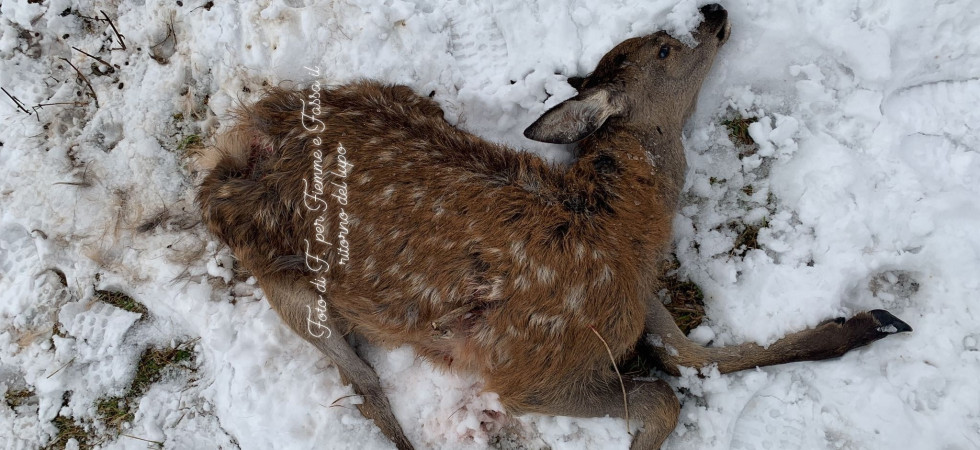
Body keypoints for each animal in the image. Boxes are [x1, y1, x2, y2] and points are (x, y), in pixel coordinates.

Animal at [195, 4, 911, 449]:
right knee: (365, 384)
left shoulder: (639, 299)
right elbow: (664, 395)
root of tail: (231, 152)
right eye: (664, 47)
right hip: (283, 281)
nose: (713, 10)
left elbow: (698, 356)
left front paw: (872, 322)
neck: (621, 228)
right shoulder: (531, 369)